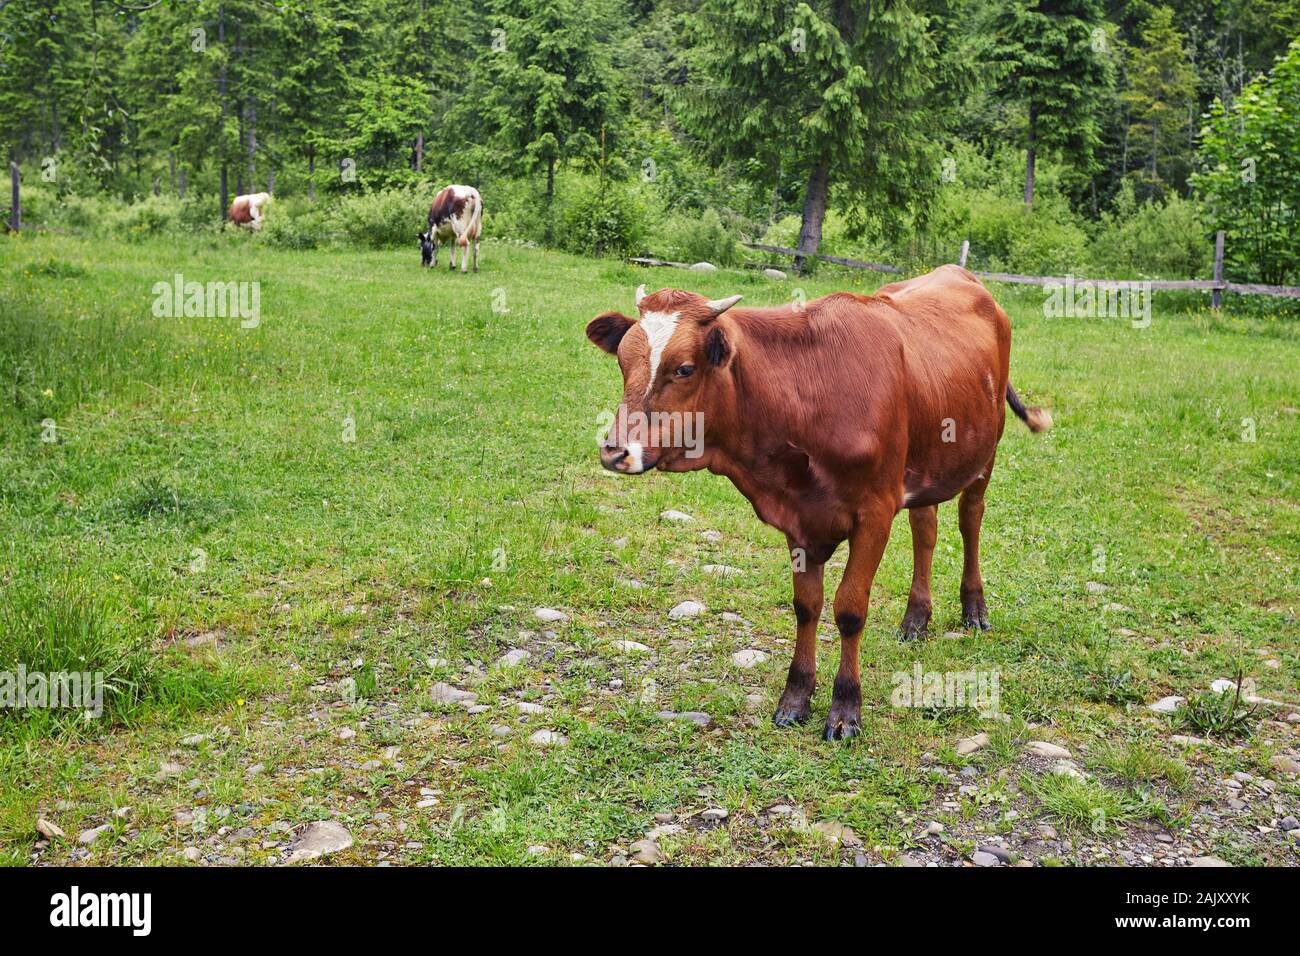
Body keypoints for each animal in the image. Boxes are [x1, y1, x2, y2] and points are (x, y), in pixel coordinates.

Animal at [584, 265, 1052, 742]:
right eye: (623, 362)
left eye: (683, 368)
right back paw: (915, 619)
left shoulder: (875, 512)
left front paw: (845, 709)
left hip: (984, 453)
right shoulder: (799, 519)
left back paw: (974, 609)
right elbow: (806, 606)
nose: (615, 452)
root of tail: (959, 273)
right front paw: (795, 698)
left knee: (970, 520)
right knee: (926, 530)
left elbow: (849, 609)